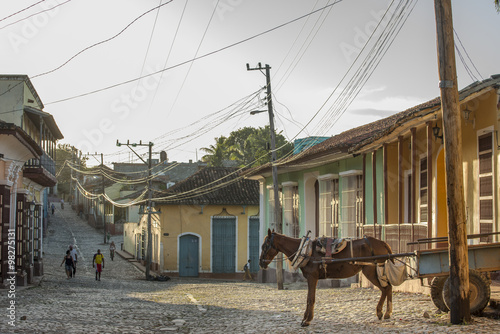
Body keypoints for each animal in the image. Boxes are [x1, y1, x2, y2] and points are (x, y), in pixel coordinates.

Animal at [258, 230, 394, 326]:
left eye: (265, 246)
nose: (260, 263)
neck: (304, 250)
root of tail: (383, 243)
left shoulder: (312, 277)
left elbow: (310, 299)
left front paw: (307, 320)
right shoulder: (311, 278)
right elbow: (309, 298)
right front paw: (306, 318)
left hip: (369, 270)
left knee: (386, 288)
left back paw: (384, 312)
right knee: (387, 288)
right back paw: (384, 312)